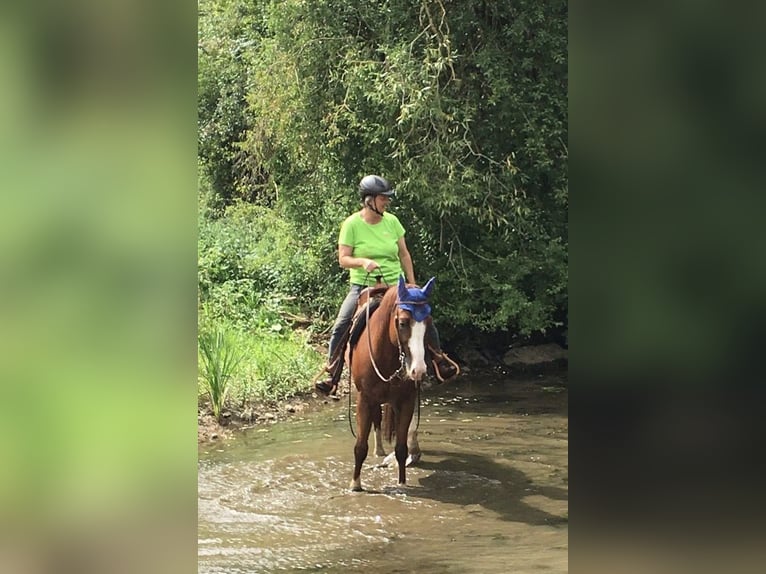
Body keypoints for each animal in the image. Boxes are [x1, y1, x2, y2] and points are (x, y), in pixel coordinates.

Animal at [347, 275, 435, 491]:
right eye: (403, 323)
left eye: (428, 322)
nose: (418, 370)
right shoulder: (364, 399)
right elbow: (360, 446)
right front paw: (355, 484)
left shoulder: (406, 401)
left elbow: (401, 447)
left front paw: (402, 483)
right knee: (376, 420)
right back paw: (378, 450)